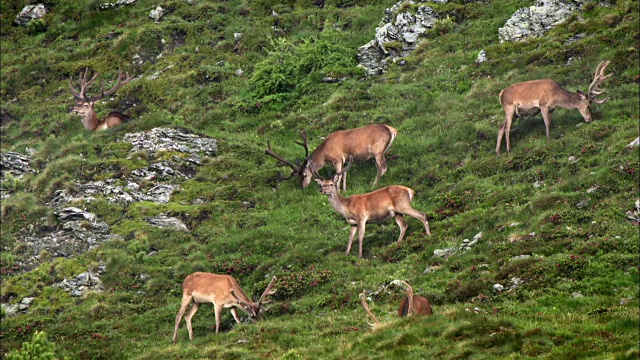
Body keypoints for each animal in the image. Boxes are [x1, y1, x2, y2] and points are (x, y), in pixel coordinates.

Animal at [264, 124, 396, 191]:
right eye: (297, 176)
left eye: (304, 175)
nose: (302, 186)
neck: (325, 153)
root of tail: (393, 130)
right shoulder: (346, 160)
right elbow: (344, 175)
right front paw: (344, 190)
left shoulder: (337, 158)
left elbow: (338, 176)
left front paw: (337, 191)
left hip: (377, 151)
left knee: (383, 168)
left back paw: (373, 185)